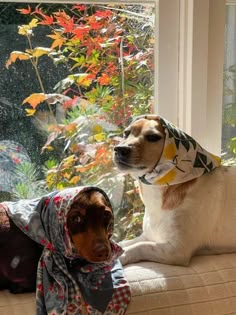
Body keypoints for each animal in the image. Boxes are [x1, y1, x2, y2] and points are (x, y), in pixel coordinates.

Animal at [113, 116, 236, 266]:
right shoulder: (149, 236)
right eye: (126, 133)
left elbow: (139, 247)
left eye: (153, 137)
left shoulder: (176, 250)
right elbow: (124, 243)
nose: (119, 149)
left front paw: (119, 257)